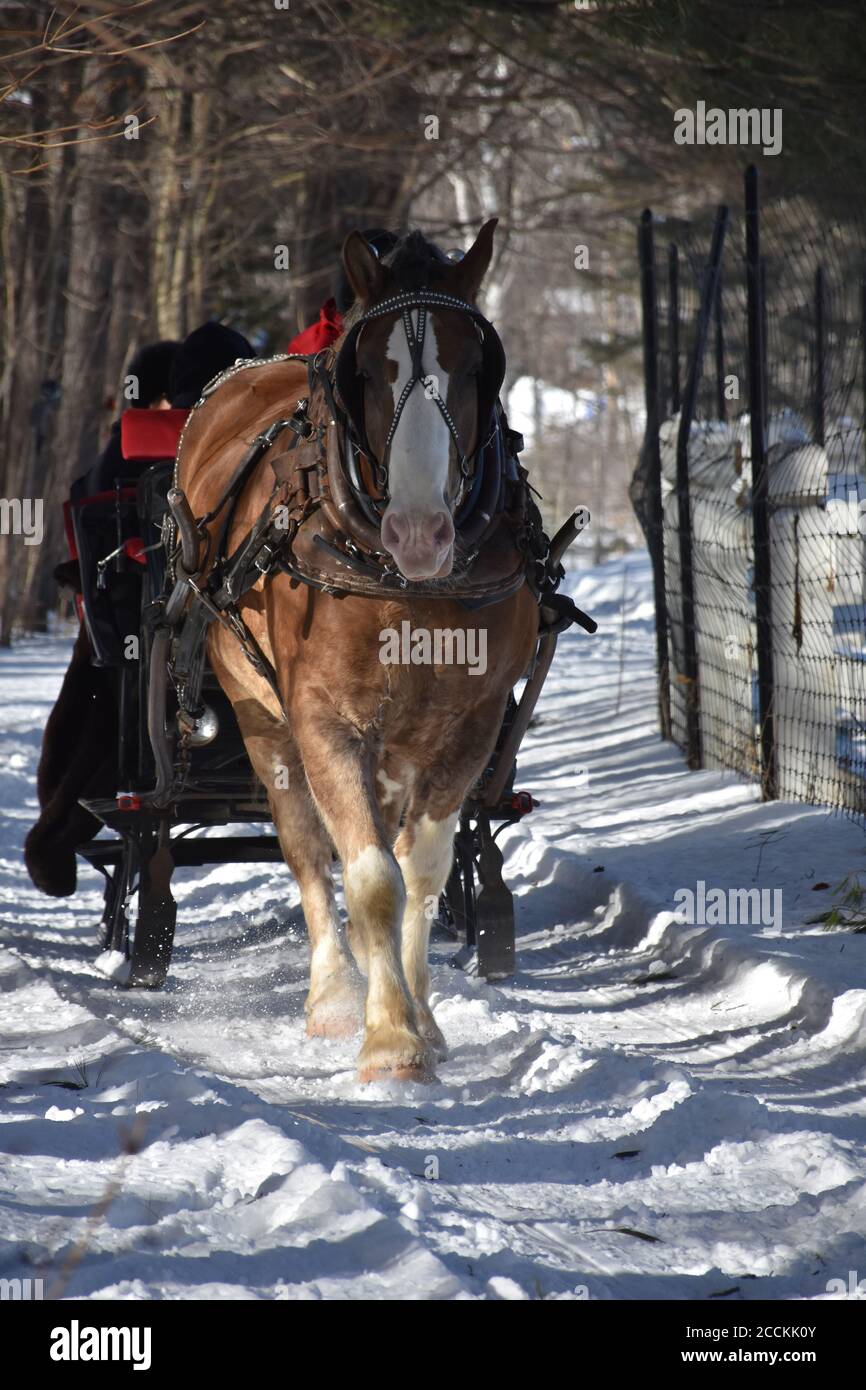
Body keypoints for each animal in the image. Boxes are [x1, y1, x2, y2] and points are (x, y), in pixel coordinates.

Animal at [176, 220, 539, 1082]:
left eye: (474, 367)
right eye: (370, 371)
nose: (420, 533)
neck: (402, 578)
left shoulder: (471, 727)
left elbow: (423, 870)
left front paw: (423, 1023)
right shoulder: (324, 720)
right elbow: (371, 876)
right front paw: (389, 1039)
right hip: (260, 716)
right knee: (309, 848)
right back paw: (336, 996)